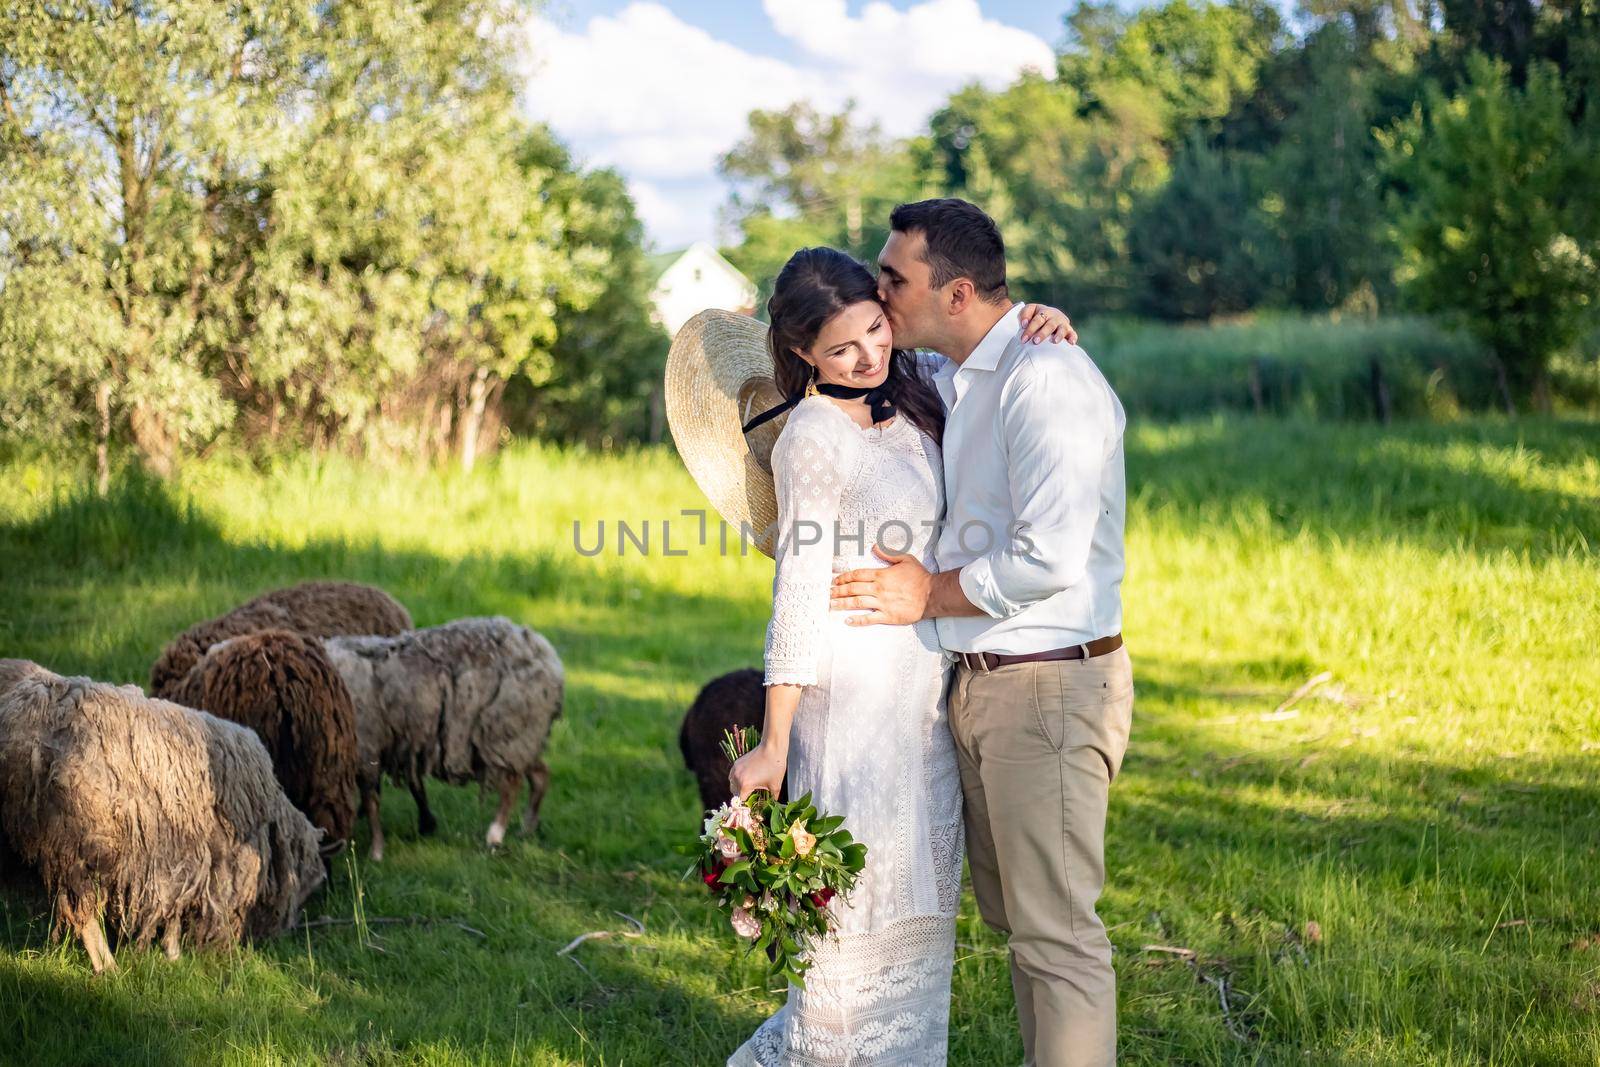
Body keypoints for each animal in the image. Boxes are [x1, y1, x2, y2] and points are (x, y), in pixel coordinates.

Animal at [321, 620, 566, 863]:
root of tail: (545, 653)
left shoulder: (367, 748)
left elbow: (371, 801)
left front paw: (376, 852)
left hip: (504, 732)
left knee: (512, 786)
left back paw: (495, 836)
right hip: (523, 736)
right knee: (540, 775)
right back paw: (527, 827)